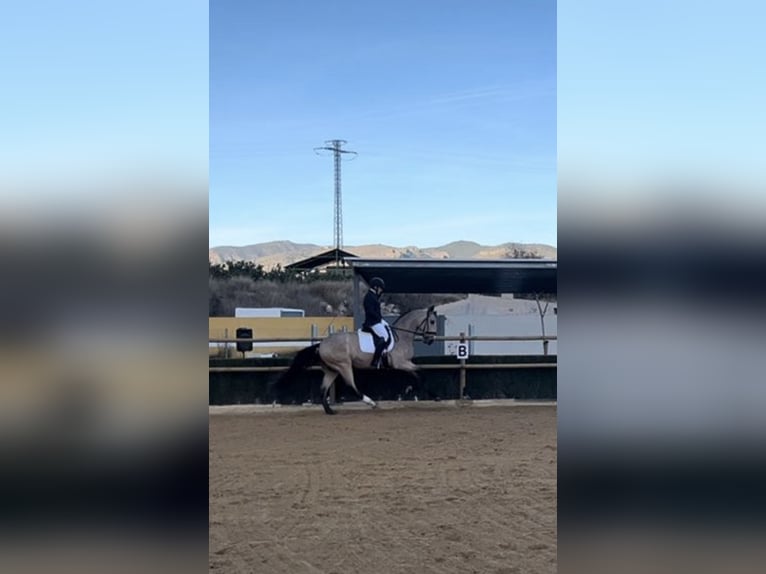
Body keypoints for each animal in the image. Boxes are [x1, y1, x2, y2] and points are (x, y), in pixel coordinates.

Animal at [280, 308, 440, 416]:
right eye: (432, 321)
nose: (430, 340)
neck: (401, 336)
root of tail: (322, 344)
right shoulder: (400, 363)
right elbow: (420, 373)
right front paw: (429, 394)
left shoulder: (406, 363)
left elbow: (418, 374)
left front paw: (417, 391)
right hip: (344, 365)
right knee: (351, 386)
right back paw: (371, 403)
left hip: (332, 370)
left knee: (323, 389)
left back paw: (330, 411)